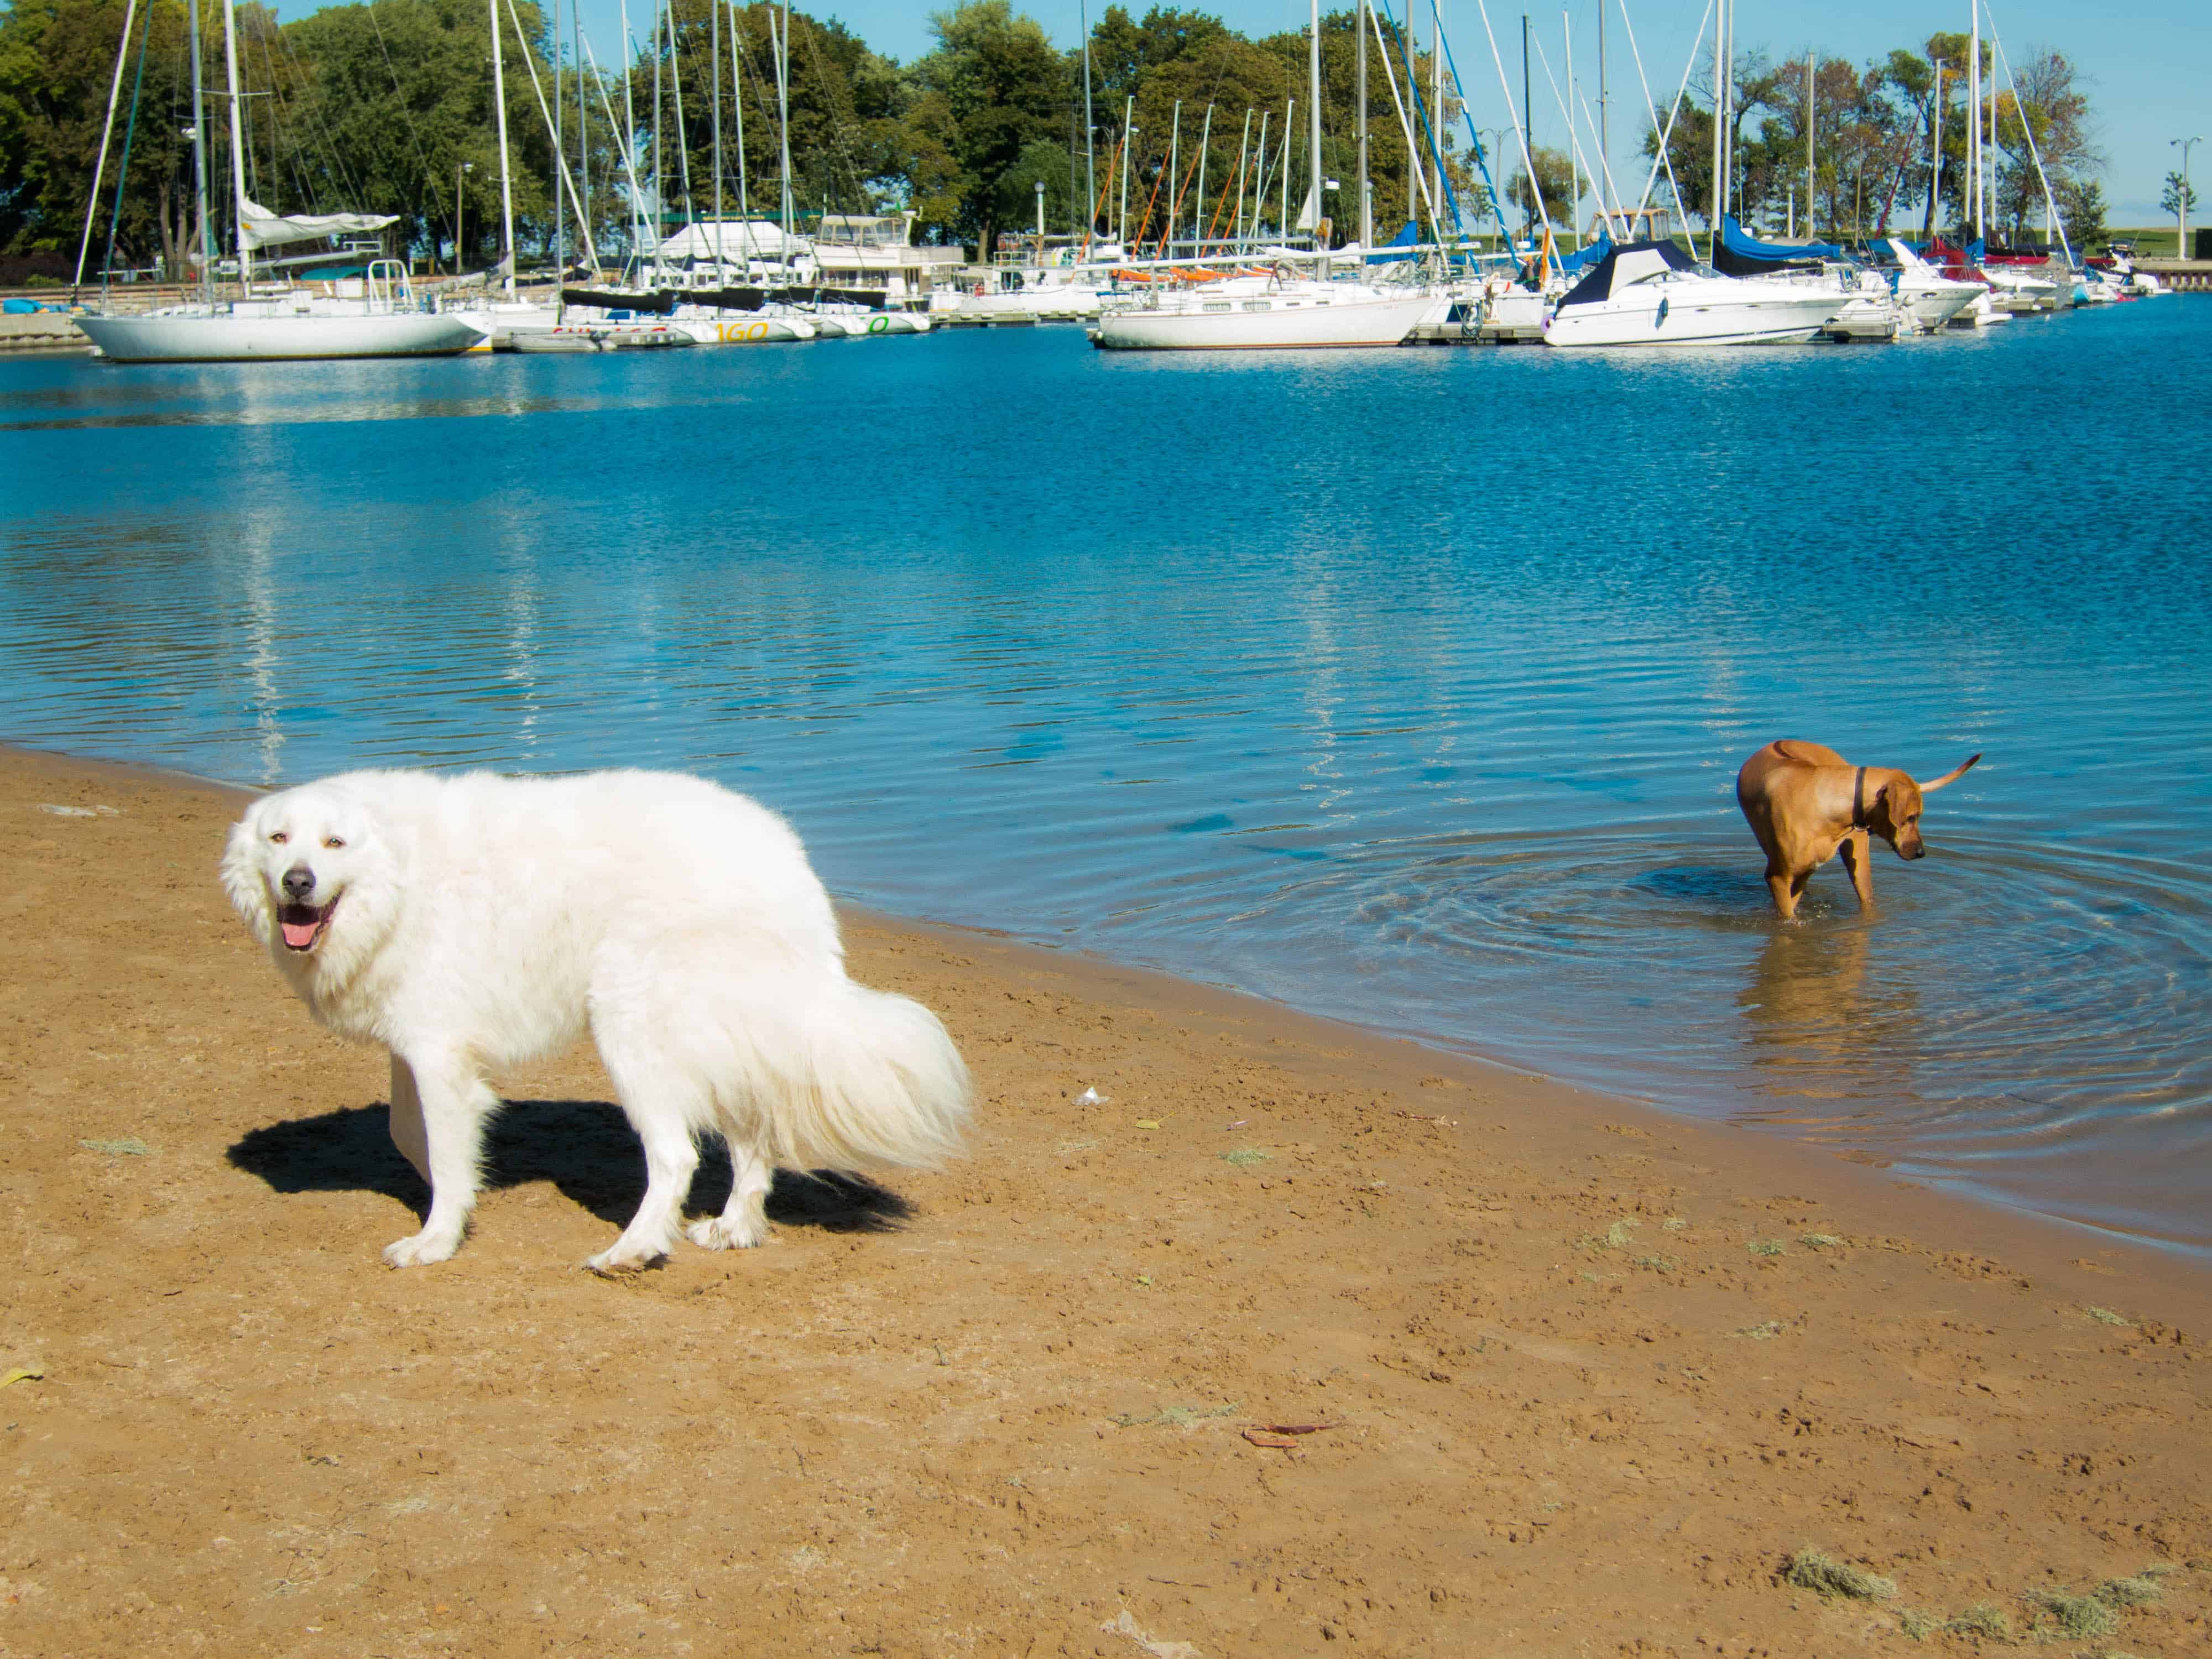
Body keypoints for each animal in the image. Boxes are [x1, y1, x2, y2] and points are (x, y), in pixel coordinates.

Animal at [220, 774, 973, 1283]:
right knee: (752, 1135)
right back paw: (733, 1228)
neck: (397, 874)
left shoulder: (435, 1053)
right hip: (720, 1029)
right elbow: (412, 1136)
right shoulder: (422, 1049)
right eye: (278, 838)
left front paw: (436, 1238)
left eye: (334, 843)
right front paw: (454, 1203)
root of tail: (788, 861)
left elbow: (439, 1147)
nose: (297, 881)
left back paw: (633, 1250)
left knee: (676, 1156)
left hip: (631, 1024)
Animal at [1734, 743, 1982, 925]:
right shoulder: (1780, 876)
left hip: (1858, 859)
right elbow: (1788, 913)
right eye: (1912, 817)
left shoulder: (1803, 873)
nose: (1921, 853)